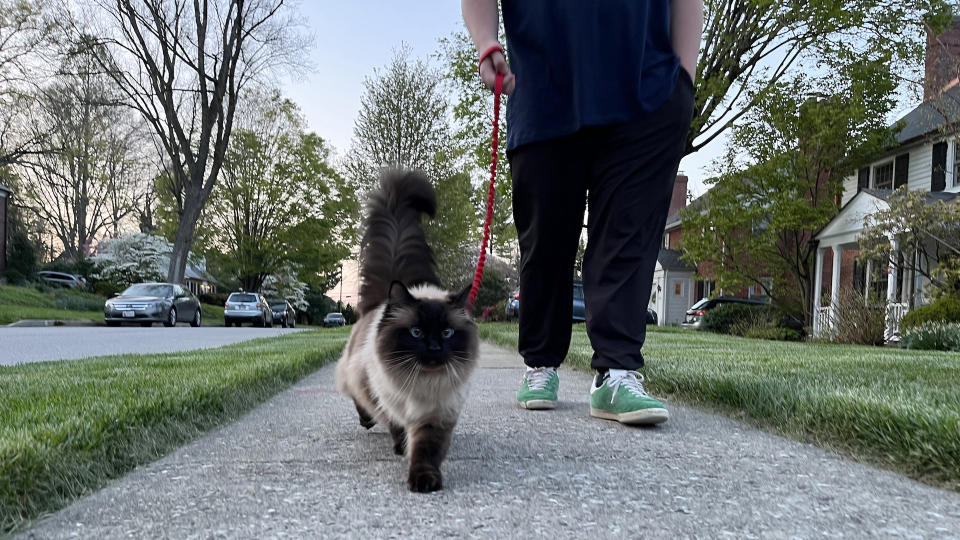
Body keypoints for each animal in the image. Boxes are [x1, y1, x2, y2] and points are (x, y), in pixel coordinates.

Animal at [334, 170, 480, 494]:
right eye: (415, 333)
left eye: (447, 333)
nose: (435, 348)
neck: (423, 385)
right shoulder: (389, 402)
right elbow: (397, 429)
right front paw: (402, 450)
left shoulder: (436, 416)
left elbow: (426, 451)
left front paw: (425, 481)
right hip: (358, 376)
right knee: (360, 403)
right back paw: (369, 425)